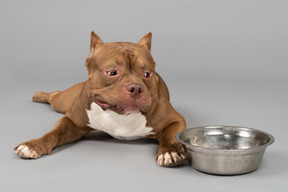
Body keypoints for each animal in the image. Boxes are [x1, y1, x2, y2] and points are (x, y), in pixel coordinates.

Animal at [14, 31, 188, 166]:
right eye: (112, 72)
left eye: (147, 74)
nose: (136, 88)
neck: (120, 116)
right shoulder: (72, 122)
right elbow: (53, 133)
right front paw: (34, 145)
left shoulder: (175, 120)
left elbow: (169, 136)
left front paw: (170, 152)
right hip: (62, 102)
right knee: (55, 95)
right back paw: (39, 95)